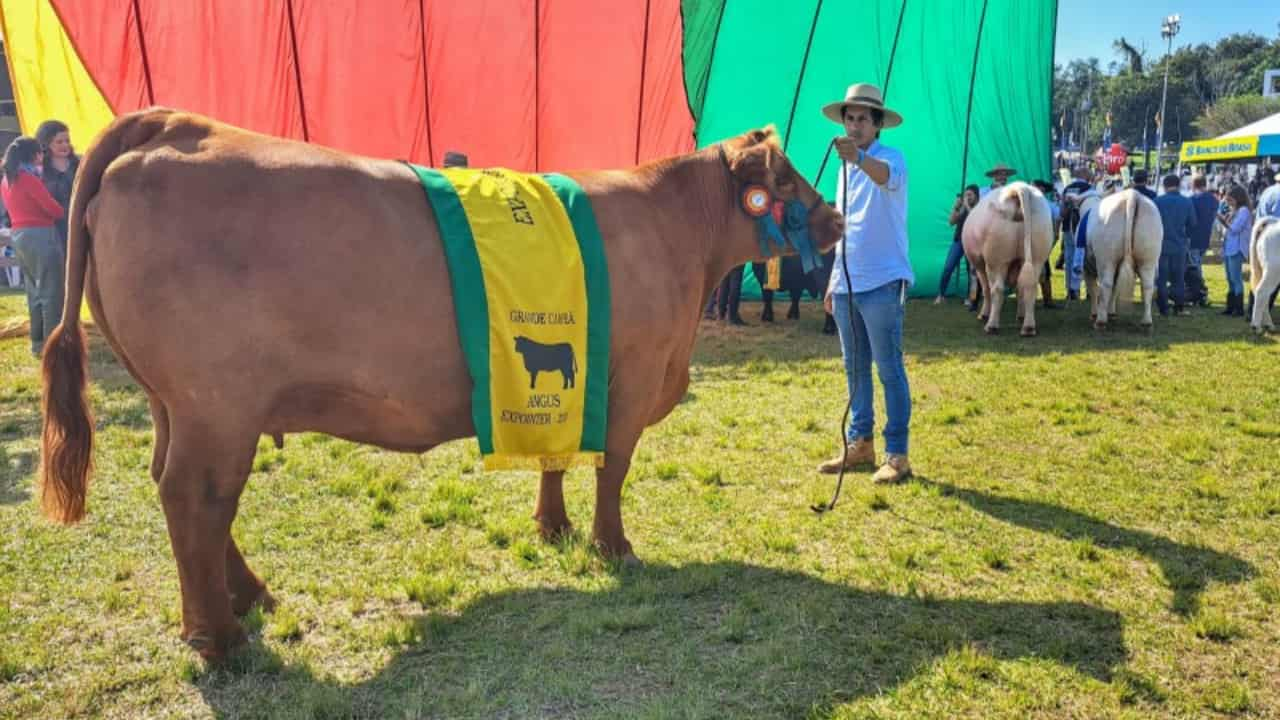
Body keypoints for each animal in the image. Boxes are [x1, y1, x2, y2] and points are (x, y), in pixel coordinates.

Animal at [40, 107, 844, 655]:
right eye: (784, 179)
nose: (836, 217)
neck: (675, 232)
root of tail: (177, 125)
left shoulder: (575, 381)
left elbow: (557, 457)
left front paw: (553, 529)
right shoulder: (636, 375)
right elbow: (612, 468)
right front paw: (614, 548)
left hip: (175, 404)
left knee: (181, 492)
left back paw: (250, 599)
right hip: (217, 406)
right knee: (196, 498)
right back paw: (218, 636)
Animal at [962, 180, 1054, 335]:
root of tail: (1019, 188)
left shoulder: (979, 264)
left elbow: (985, 289)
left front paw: (984, 314)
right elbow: (1019, 289)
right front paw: (1020, 315)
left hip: (997, 260)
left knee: (997, 289)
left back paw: (992, 325)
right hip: (1037, 257)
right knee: (1030, 286)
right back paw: (1028, 326)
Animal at [1085, 188, 1167, 327]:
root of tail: (1132, 196)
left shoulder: (1086, 267)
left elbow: (1093, 290)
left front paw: (1095, 314)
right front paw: (1111, 313)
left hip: (1107, 259)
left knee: (1105, 285)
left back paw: (1100, 321)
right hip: (1148, 258)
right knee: (1147, 286)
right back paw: (1147, 322)